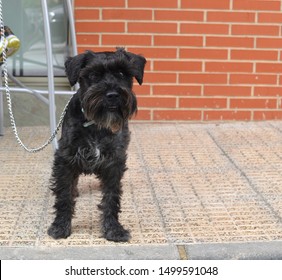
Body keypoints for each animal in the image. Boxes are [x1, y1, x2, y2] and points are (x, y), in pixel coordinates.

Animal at [47, 47, 147, 241]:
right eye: (93, 75)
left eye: (122, 73)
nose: (112, 95)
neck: (96, 124)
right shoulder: (65, 159)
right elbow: (63, 195)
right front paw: (60, 226)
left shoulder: (114, 163)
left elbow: (111, 197)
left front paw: (114, 229)